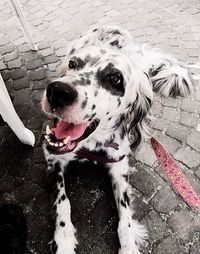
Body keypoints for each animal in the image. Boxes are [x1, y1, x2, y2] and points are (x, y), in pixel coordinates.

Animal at [41, 25, 193, 254]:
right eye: (73, 63)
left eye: (115, 79)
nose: (57, 91)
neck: (93, 143)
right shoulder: (53, 157)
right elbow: (62, 202)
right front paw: (64, 239)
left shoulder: (119, 166)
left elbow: (125, 218)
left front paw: (129, 245)